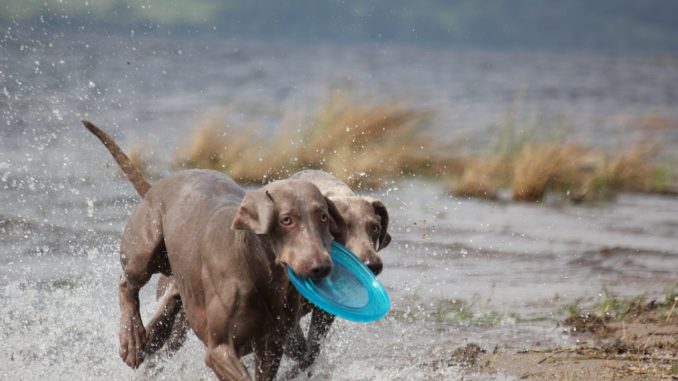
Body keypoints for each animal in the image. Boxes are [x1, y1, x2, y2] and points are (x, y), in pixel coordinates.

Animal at [84, 120, 348, 378]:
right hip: (145, 246)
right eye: (286, 220)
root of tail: (159, 185)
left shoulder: (272, 346)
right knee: (128, 282)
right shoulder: (220, 350)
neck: (260, 268)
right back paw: (131, 338)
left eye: (323, 216)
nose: (321, 266)